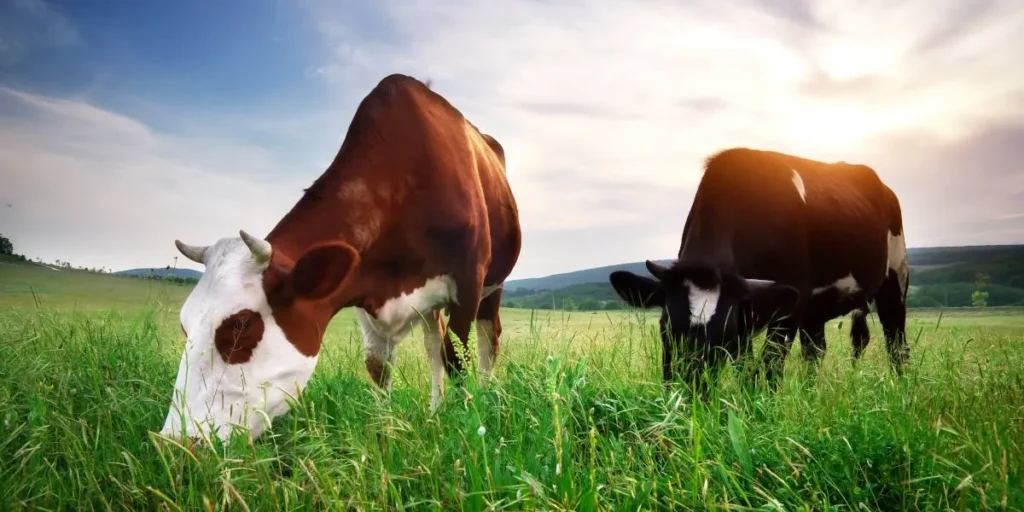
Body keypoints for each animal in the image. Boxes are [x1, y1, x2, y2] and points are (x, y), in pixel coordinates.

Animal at [161, 74, 521, 441]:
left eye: (241, 326)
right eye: (184, 324)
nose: (175, 443)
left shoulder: (468, 282)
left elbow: (457, 358)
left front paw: (464, 426)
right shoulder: (365, 286)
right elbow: (379, 366)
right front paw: (385, 433)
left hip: (493, 285)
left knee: (486, 340)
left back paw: (483, 398)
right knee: (433, 343)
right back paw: (435, 412)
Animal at [608, 147, 909, 394]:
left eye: (725, 334)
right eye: (665, 325)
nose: (688, 392)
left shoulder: (789, 303)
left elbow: (770, 365)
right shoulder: (747, 310)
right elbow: (746, 368)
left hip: (895, 279)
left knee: (897, 344)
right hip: (815, 311)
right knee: (815, 352)